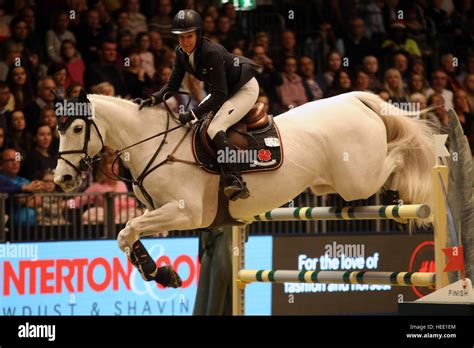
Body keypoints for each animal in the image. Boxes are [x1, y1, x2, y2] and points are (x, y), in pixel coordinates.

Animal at [53, 91, 436, 286]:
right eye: (58, 128)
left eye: (76, 127)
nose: (62, 179)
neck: (156, 145)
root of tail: (354, 100)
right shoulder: (155, 211)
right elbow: (127, 234)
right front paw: (161, 273)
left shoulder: (185, 213)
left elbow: (127, 230)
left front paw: (158, 272)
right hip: (330, 181)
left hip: (356, 178)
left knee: (398, 155)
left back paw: (414, 188)